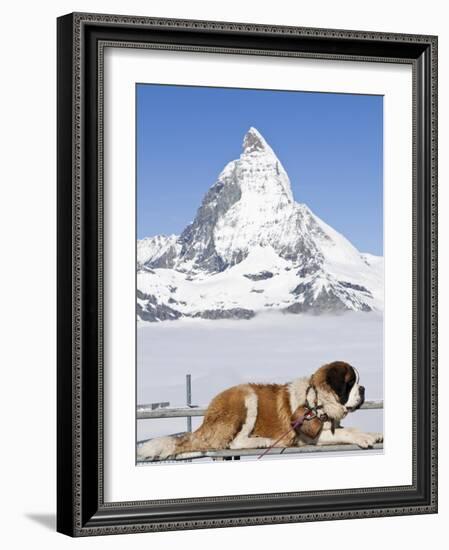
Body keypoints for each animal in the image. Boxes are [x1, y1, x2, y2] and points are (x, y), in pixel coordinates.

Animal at [137, 362, 382, 462]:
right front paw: (364, 436)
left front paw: (375, 434)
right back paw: (262, 440)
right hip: (247, 397)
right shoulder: (307, 435)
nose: (363, 388)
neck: (317, 400)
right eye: (351, 383)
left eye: (357, 382)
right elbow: (348, 430)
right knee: (232, 443)